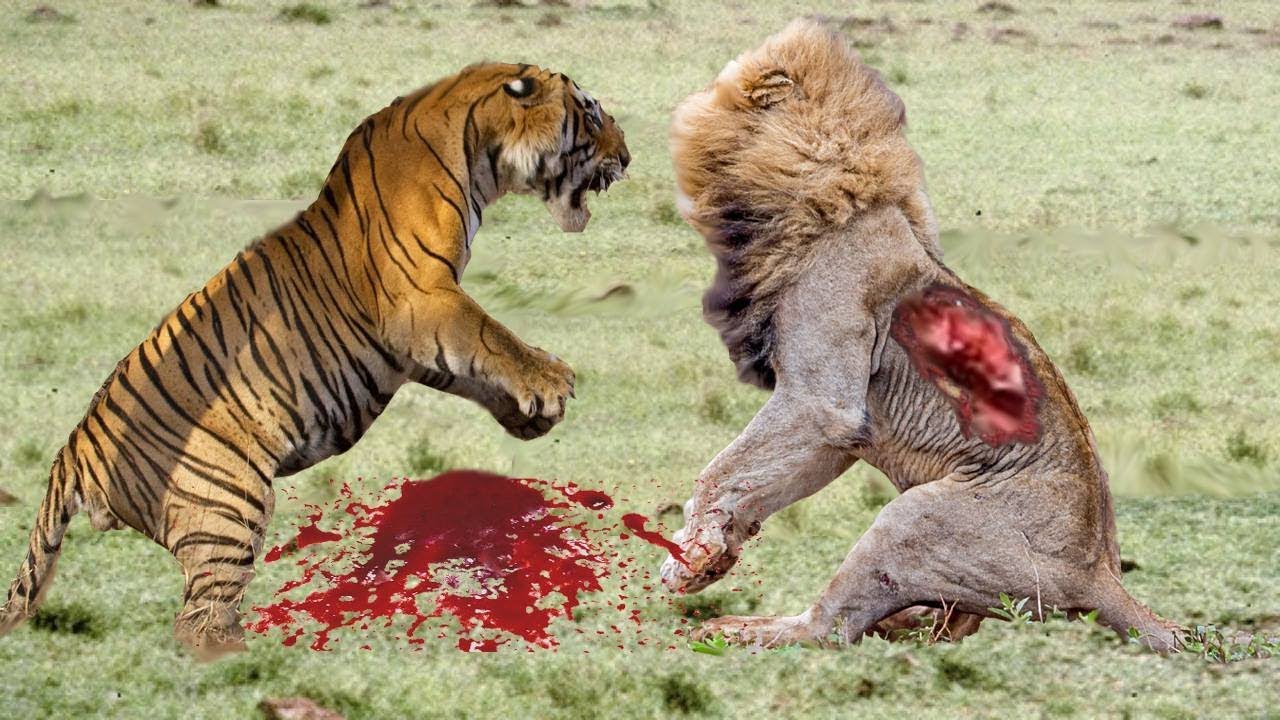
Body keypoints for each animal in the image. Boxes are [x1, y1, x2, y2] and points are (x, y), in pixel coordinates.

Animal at [0, 62, 630, 658]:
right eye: (591, 113)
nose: (628, 156)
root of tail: (74, 449)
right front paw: (550, 380)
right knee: (199, 623)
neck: (478, 150)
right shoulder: (421, 300)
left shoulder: (412, 344)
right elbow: (489, 333)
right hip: (228, 508)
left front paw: (529, 416)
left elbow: (471, 366)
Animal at [659, 19, 1182, 653]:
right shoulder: (839, 435)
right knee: (946, 622)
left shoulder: (821, 401)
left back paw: (740, 630)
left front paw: (688, 559)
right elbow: (761, 476)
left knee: (831, 628)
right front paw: (715, 552)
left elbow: (722, 468)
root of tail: (1100, 574)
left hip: (912, 518)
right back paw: (903, 622)